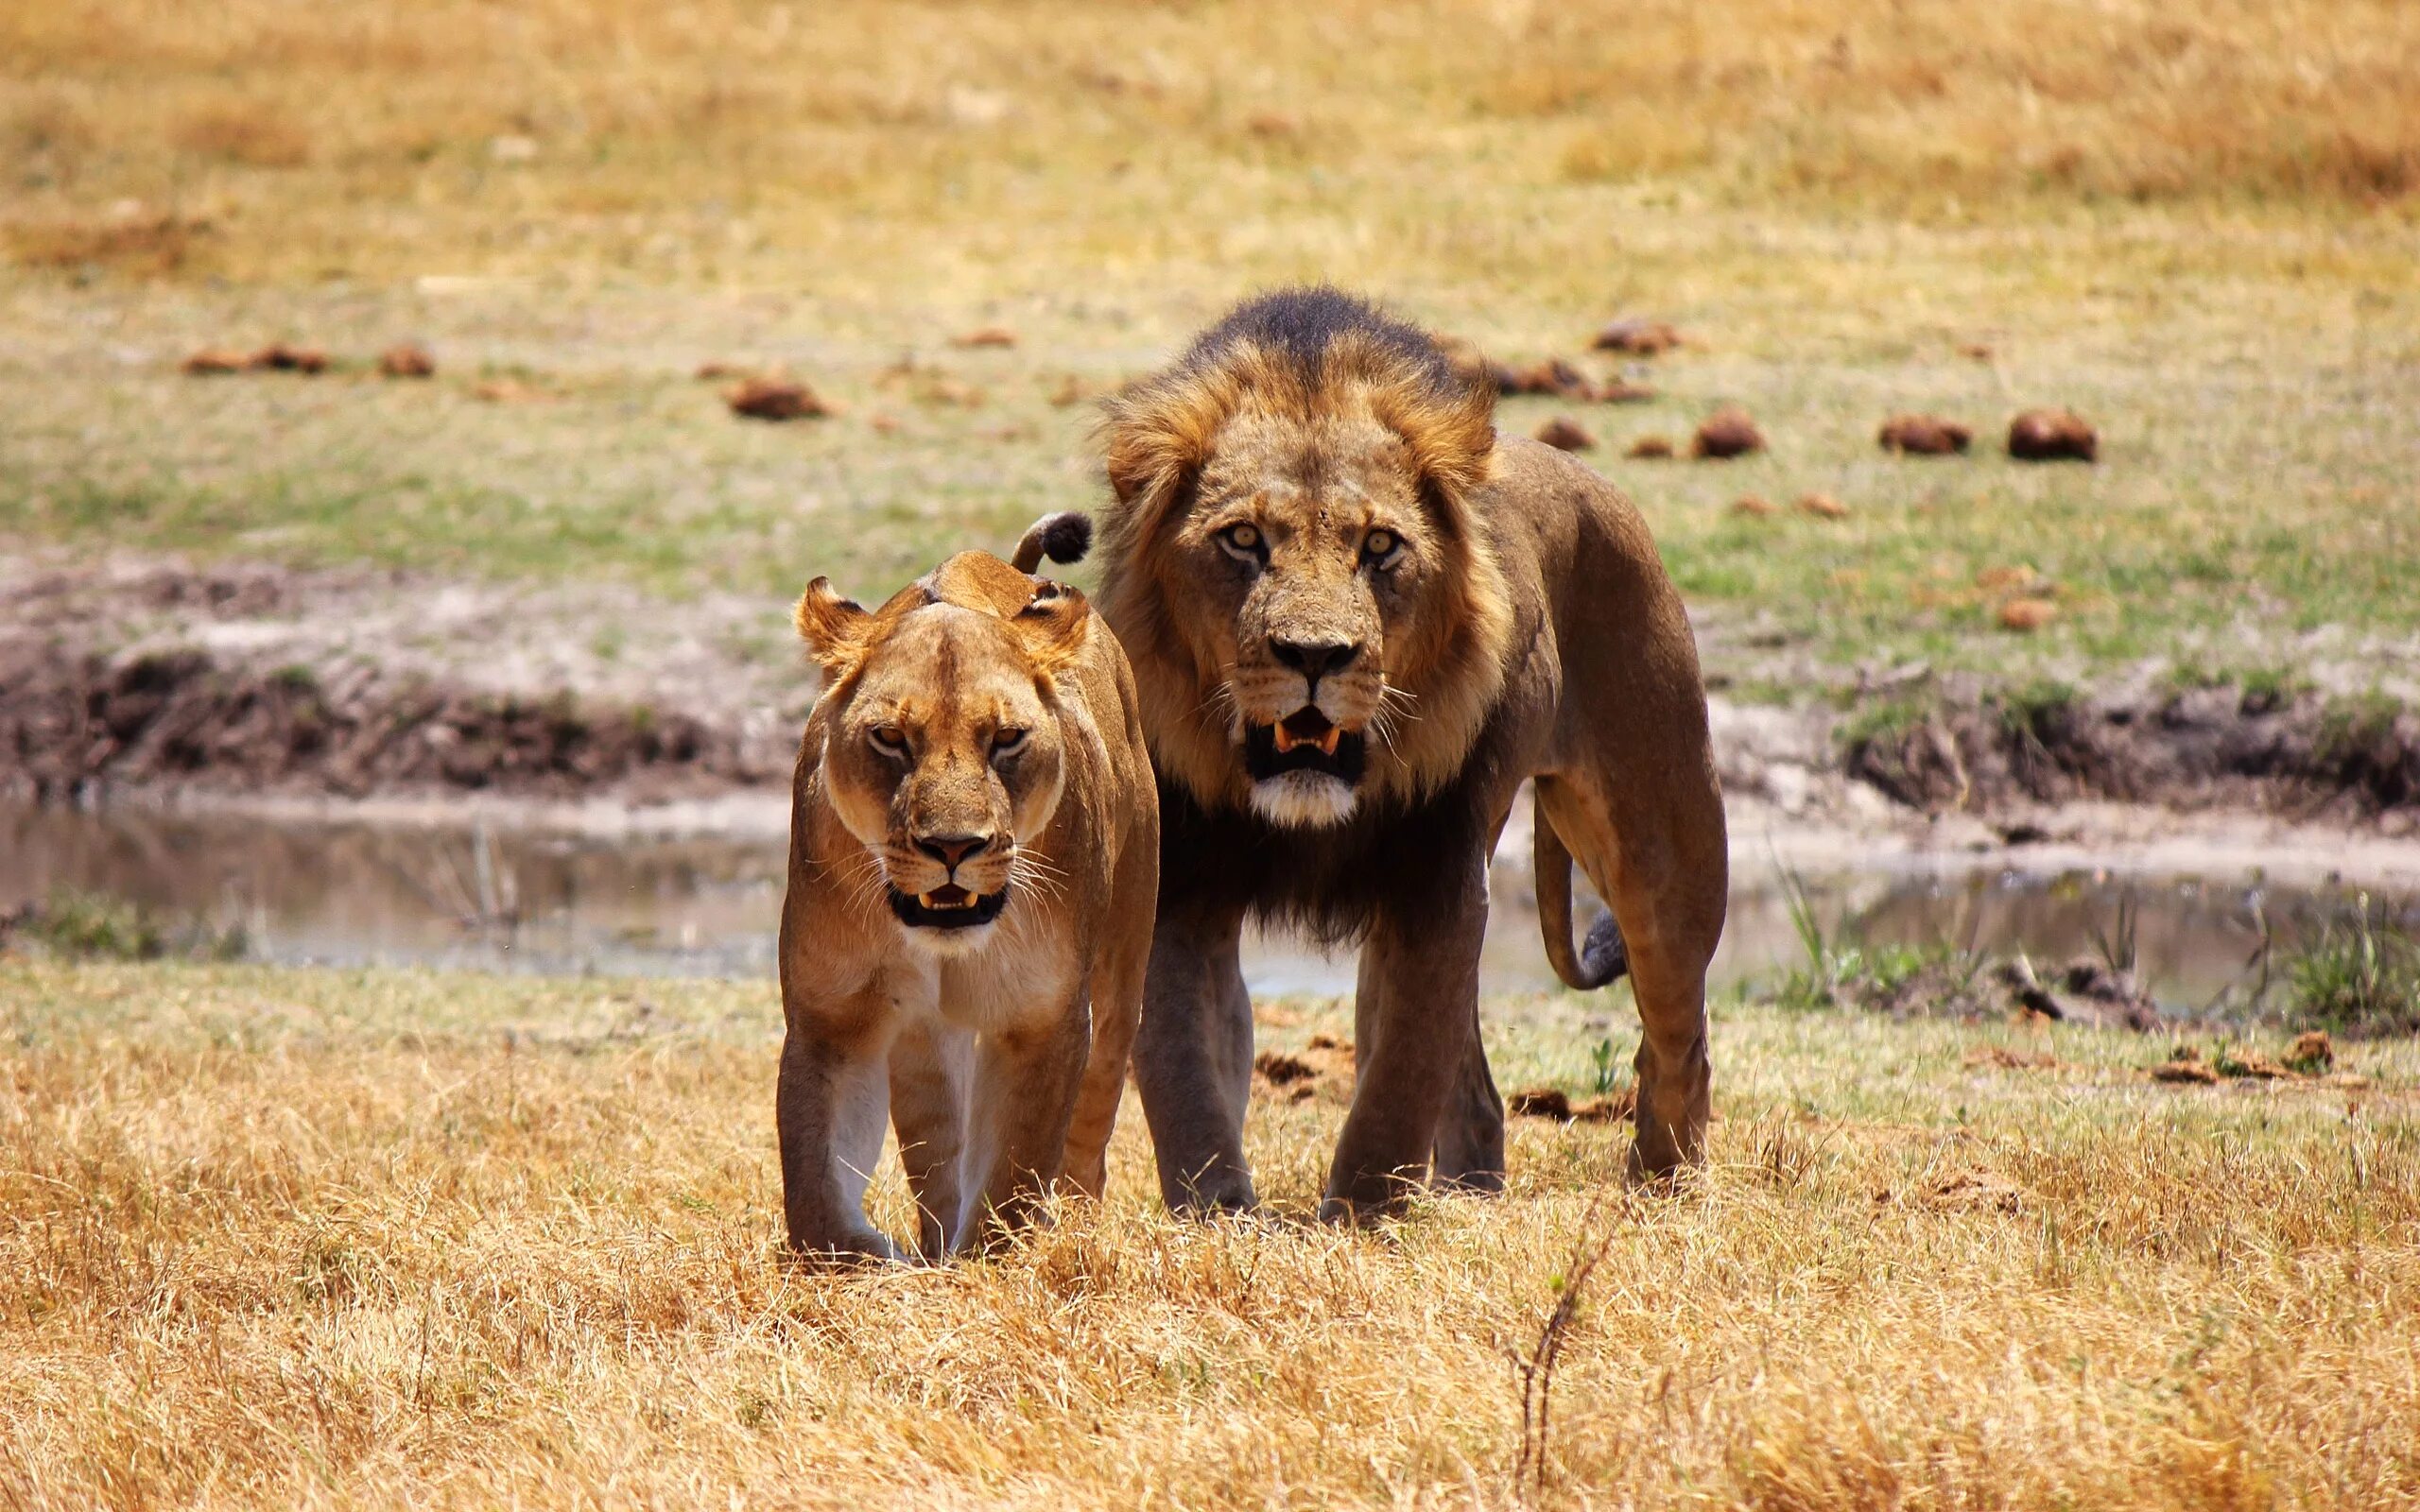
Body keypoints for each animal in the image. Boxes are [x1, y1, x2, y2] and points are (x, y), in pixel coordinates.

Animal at [774, 512, 1151, 1258]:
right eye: (890, 738)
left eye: (1006, 738)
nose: (953, 846)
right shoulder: (832, 1018)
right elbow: (816, 1195)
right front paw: (884, 1260)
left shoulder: (1044, 1017)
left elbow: (1013, 1172)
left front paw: (987, 1262)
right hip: (926, 1038)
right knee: (938, 1147)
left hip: (1121, 978)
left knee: (1090, 1132)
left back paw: (1077, 1229)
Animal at [1098, 288, 1722, 1219]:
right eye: (1243, 540)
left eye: (1381, 546)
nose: (1314, 655)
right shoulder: (1186, 887)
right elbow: (1187, 1075)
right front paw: (1219, 1216)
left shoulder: (1437, 879)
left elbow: (1398, 1082)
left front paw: (1358, 1219)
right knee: (1481, 1095)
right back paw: (1473, 1199)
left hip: (1668, 855)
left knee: (1676, 1041)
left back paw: (1661, 1191)